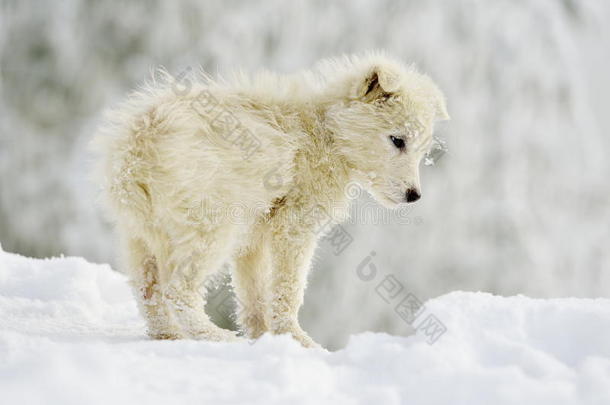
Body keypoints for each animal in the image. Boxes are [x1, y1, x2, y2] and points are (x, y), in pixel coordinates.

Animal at [94, 51, 446, 348]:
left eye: (422, 150)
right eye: (397, 140)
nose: (414, 196)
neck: (325, 131)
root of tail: (138, 145)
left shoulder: (254, 238)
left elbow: (254, 296)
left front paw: (264, 337)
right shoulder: (294, 228)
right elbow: (287, 290)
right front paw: (298, 341)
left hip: (139, 235)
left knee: (148, 291)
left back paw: (169, 336)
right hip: (211, 227)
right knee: (178, 290)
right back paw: (216, 337)